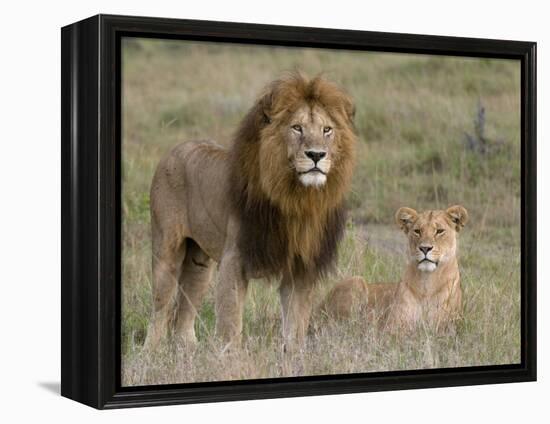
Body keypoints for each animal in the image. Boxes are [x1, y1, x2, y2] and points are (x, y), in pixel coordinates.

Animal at [144, 73, 358, 352]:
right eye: (297, 128)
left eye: (327, 130)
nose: (316, 155)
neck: (296, 198)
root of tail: (174, 149)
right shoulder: (235, 259)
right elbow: (231, 322)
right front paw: (230, 357)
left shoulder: (300, 268)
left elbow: (296, 324)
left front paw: (294, 355)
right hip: (166, 251)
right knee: (160, 307)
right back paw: (151, 351)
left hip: (199, 261)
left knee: (186, 306)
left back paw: (187, 349)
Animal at [324, 205, 470, 332]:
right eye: (417, 231)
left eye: (439, 231)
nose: (424, 248)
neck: (427, 283)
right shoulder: (391, 326)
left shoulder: (445, 328)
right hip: (356, 281)